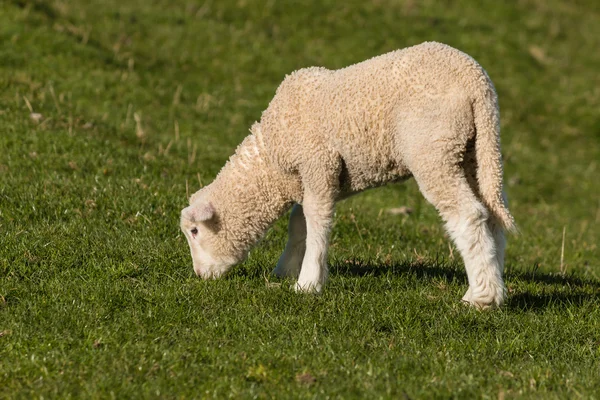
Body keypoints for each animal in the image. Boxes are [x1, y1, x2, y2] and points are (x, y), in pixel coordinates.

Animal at [180, 42, 516, 308]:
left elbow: (317, 222)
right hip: (475, 151)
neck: (271, 163)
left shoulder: (318, 164)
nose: (199, 275)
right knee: (492, 215)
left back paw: (481, 298)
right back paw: (493, 287)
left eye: (195, 231)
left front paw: (308, 283)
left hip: (434, 149)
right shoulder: (319, 178)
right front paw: (287, 269)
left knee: (469, 215)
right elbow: (299, 223)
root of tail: (476, 82)